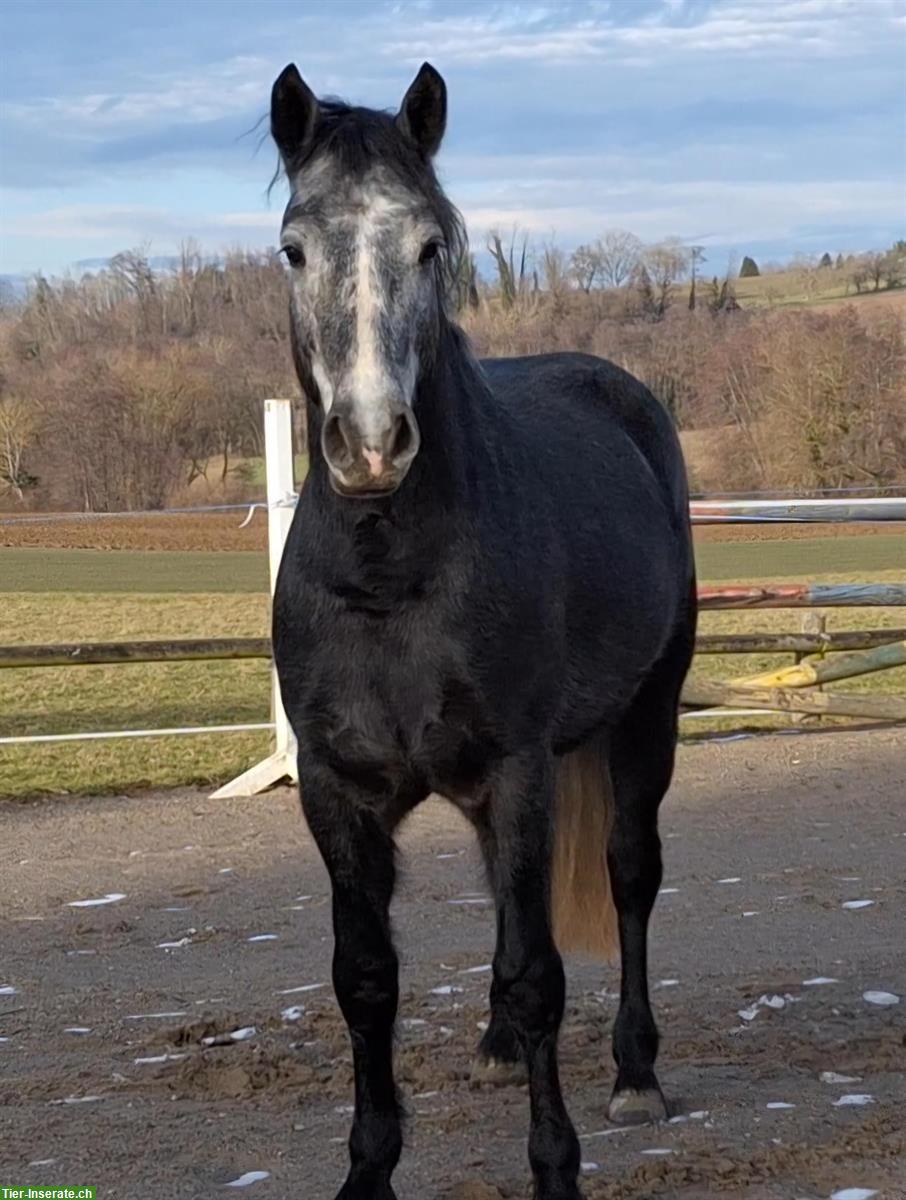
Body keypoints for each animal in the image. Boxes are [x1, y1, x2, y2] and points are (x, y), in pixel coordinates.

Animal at [270, 61, 697, 1200]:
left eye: (430, 245)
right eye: (294, 247)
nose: (372, 443)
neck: (390, 581)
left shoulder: (520, 770)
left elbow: (540, 968)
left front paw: (555, 1168)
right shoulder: (336, 790)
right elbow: (365, 978)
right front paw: (367, 1170)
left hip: (647, 719)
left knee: (629, 877)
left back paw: (636, 1072)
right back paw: (500, 1048)